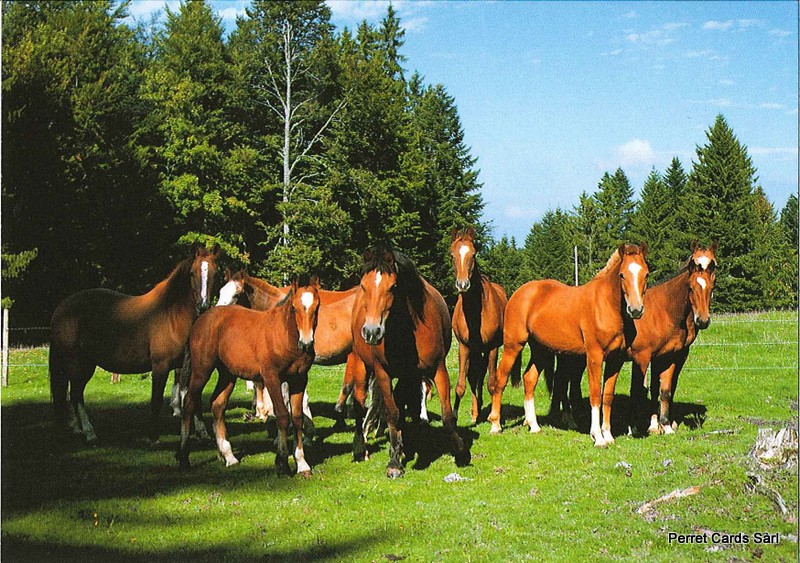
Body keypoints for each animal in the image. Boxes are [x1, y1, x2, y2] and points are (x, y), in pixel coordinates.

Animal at [49, 244, 219, 443]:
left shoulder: (188, 367)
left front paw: (202, 432)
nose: (203, 306)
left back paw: (77, 428)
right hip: (77, 365)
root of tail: (61, 309)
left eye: (215, 273)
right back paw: (89, 432)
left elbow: (194, 398)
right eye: (192, 273)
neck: (172, 315)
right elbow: (156, 400)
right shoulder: (160, 366)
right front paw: (153, 437)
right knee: (76, 396)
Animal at [177, 277, 321, 476]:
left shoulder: (299, 380)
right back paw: (183, 457)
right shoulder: (272, 378)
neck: (284, 335)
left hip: (227, 375)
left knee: (217, 405)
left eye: (317, 306)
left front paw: (302, 464)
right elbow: (283, 416)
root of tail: (201, 320)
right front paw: (282, 464)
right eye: (294, 307)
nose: (306, 342)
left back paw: (228, 457)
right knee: (189, 402)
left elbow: (298, 418)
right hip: (201, 370)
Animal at [350, 243, 466, 478]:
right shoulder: (383, 373)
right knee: (359, 402)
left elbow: (447, 413)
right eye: (364, 286)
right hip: (360, 365)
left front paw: (459, 449)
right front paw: (394, 462)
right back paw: (360, 448)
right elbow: (393, 414)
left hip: (407, 376)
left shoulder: (437, 370)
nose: (371, 332)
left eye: (393, 286)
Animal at [449, 227, 507, 423]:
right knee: (475, 377)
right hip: (474, 351)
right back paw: (475, 411)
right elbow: (461, 385)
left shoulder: (492, 347)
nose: (462, 284)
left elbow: (492, 383)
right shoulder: (464, 346)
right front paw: (455, 416)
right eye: (452, 255)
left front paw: (494, 417)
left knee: (481, 376)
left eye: (473, 254)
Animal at [487, 243, 649, 447]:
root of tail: (519, 293)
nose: (635, 310)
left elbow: (607, 396)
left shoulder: (615, 360)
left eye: (646, 274)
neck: (606, 306)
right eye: (621, 275)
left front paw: (608, 435)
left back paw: (534, 425)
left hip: (541, 350)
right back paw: (495, 425)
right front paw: (598, 437)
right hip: (513, 345)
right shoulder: (594, 357)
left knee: (529, 378)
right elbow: (595, 394)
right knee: (501, 379)